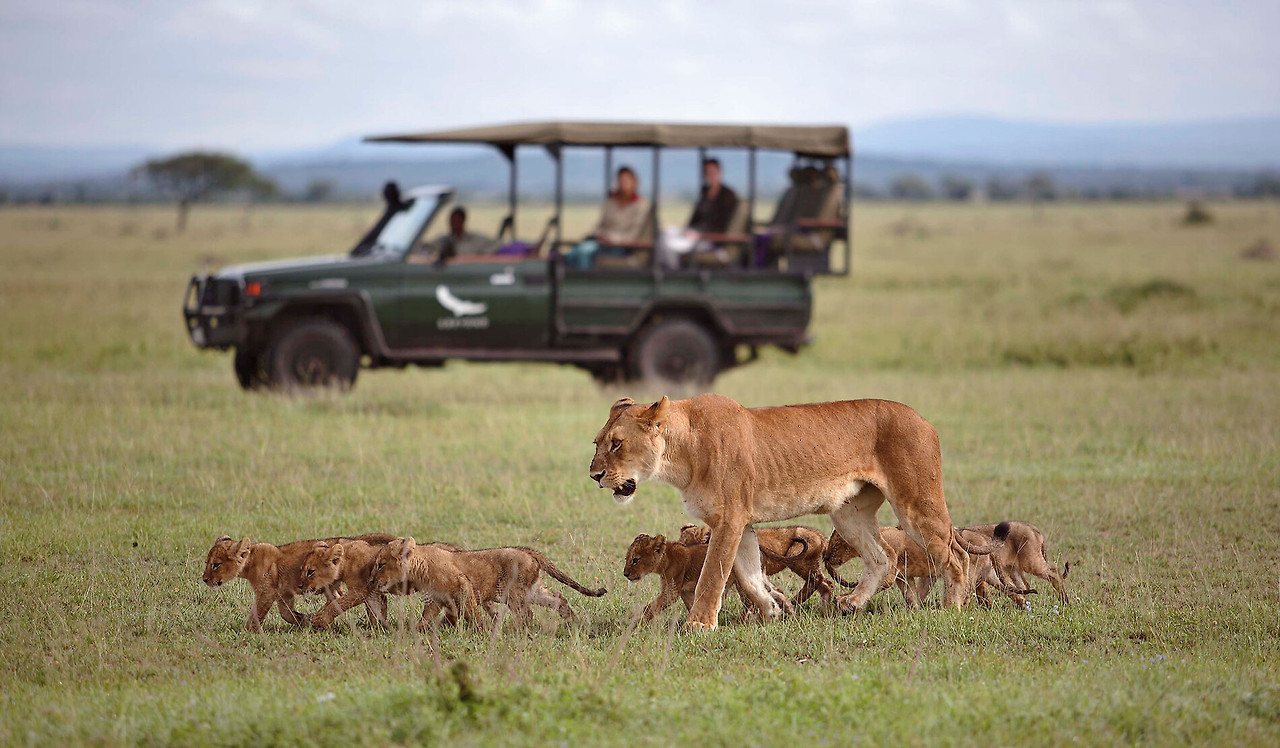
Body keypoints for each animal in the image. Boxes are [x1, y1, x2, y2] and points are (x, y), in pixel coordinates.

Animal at [201, 533, 395, 631]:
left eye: (216, 564)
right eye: (206, 563)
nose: (204, 579)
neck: (251, 562)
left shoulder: (266, 592)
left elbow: (256, 614)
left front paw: (246, 632)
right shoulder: (283, 593)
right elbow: (286, 614)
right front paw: (304, 620)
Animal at [299, 538, 462, 628]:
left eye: (310, 571)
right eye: (303, 569)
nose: (300, 586)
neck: (346, 563)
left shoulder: (361, 590)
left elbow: (338, 604)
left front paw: (320, 620)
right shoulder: (373, 592)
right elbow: (375, 610)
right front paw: (376, 628)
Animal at [371, 537, 607, 631]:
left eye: (381, 564)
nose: (371, 580)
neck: (419, 567)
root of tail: (528, 551)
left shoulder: (462, 584)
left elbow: (471, 612)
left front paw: (482, 630)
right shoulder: (436, 599)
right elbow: (426, 618)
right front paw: (417, 630)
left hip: (513, 591)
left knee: (526, 614)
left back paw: (514, 630)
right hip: (533, 590)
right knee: (558, 598)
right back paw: (573, 622)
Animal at [622, 533, 796, 623]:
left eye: (635, 560)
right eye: (626, 558)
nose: (625, 574)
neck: (665, 559)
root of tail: (759, 547)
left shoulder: (671, 591)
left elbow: (651, 607)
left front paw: (633, 621)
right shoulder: (685, 591)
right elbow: (692, 605)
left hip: (742, 581)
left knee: (750, 603)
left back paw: (742, 621)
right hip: (759, 576)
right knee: (777, 592)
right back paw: (791, 614)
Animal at [678, 523, 835, 608]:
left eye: (685, 544)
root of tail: (821, 536)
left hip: (798, 558)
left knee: (818, 580)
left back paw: (796, 601)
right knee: (826, 583)